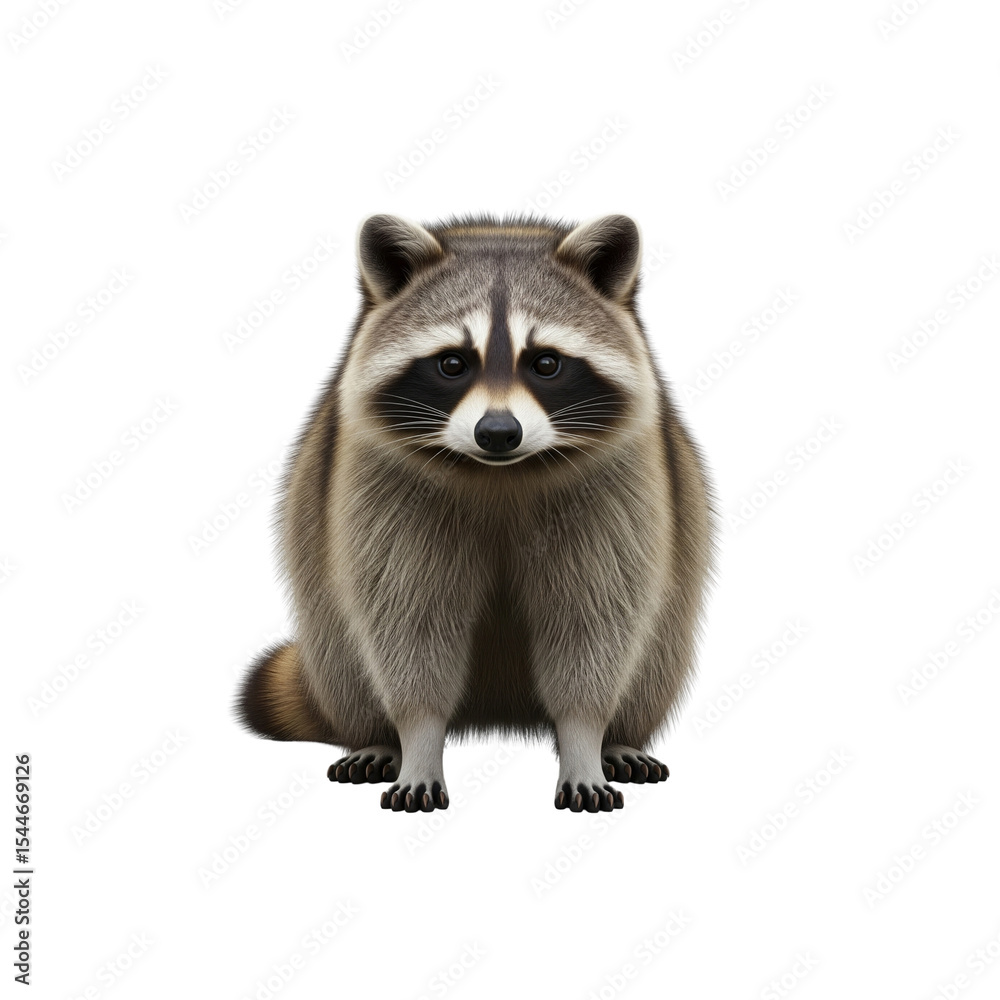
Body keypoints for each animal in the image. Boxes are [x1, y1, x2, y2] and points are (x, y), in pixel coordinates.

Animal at [238, 213, 715, 814]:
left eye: (546, 363)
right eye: (451, 363)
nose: (498, 432)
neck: (500, 473)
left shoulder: (620, 489)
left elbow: (596, 622)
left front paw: (586, 739)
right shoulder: (380, 492)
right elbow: (406, 625)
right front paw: (417, 741)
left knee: (653, 651)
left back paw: (621, 738)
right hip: (325, 606)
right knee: (346, 649)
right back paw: (377, 737)